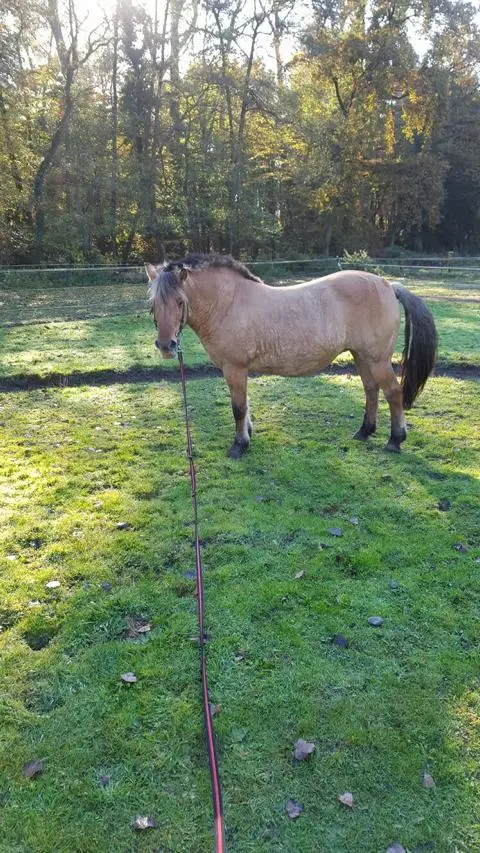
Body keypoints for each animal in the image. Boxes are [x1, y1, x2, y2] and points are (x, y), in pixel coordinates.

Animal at [146, 254, 437, 459]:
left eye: (180, 302)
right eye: (153, 304)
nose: (166, 345)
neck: (228, 303)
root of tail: (388, 285)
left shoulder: (234, 368)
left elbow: (238, 407)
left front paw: (239, 445)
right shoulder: (239, 370)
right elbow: (245, 405)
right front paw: (247, 435)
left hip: (377, 360)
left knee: (393, 393)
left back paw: (395, 440)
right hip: (361, 356)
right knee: (371, 390)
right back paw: (364, 432)